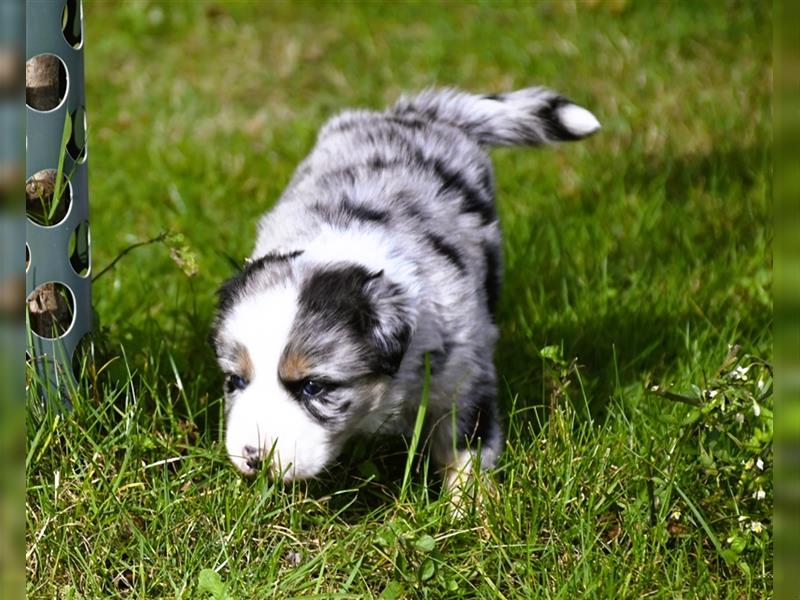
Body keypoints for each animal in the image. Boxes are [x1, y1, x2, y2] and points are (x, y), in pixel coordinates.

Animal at [209, 88, 596, 502]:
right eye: (235, 381)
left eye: (314, 386)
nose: (254, 457)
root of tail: (414, 114)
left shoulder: (464, 375)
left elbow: (465, 450)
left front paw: (469, 510)